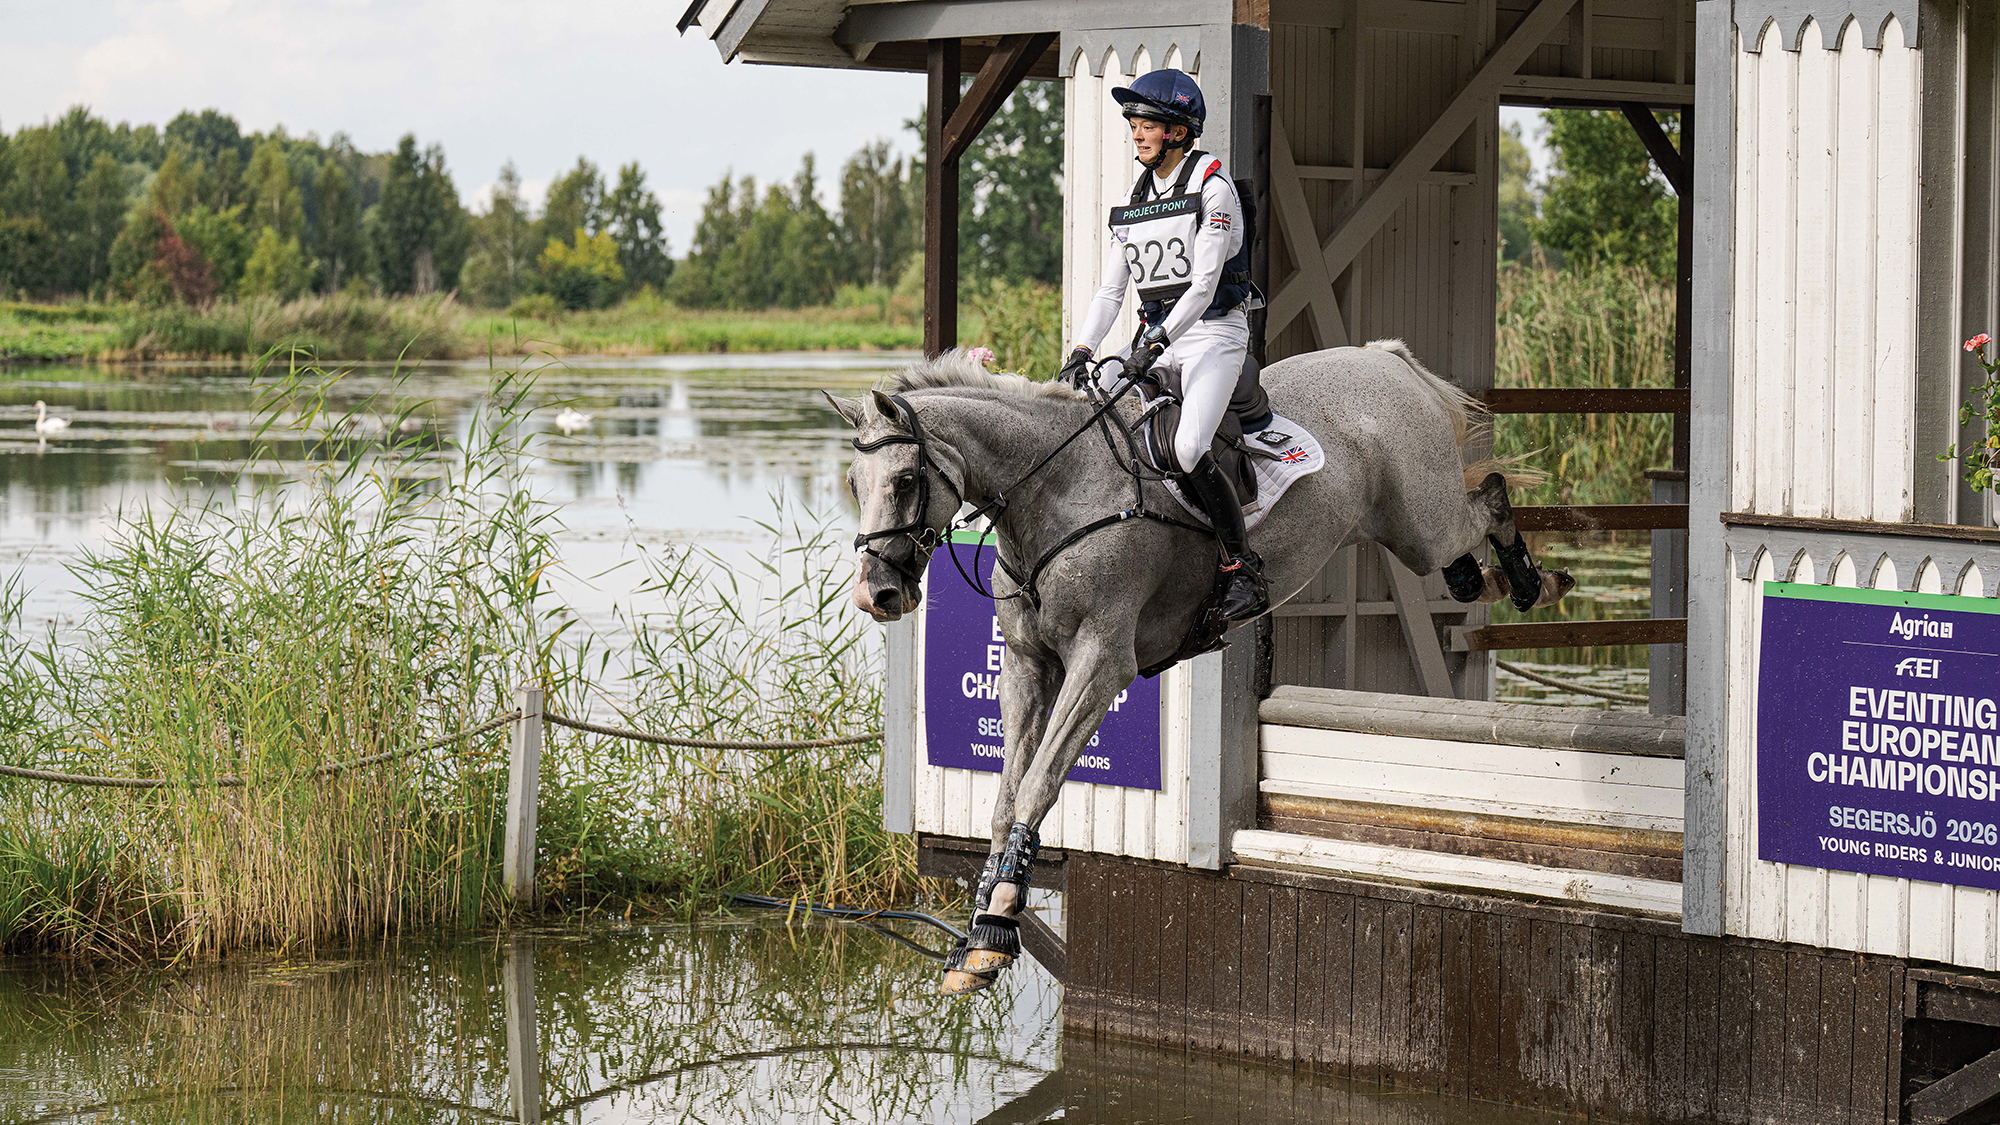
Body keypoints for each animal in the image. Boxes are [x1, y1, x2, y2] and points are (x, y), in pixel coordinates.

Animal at [827, 341, 1572, 993]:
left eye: (904, 480)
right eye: (854, 483)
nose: (876, 594)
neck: (1057, 488)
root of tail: (1383, 358)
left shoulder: (1102, 662)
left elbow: (1038, 785)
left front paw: (996, 923)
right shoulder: (1027, 667)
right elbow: (1007, 797)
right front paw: (980, 935)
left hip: (1423, 519)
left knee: (1490, 498)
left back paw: (1537, 581)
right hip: (1405, 527)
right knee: (1468, 545)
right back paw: (1492, 580)